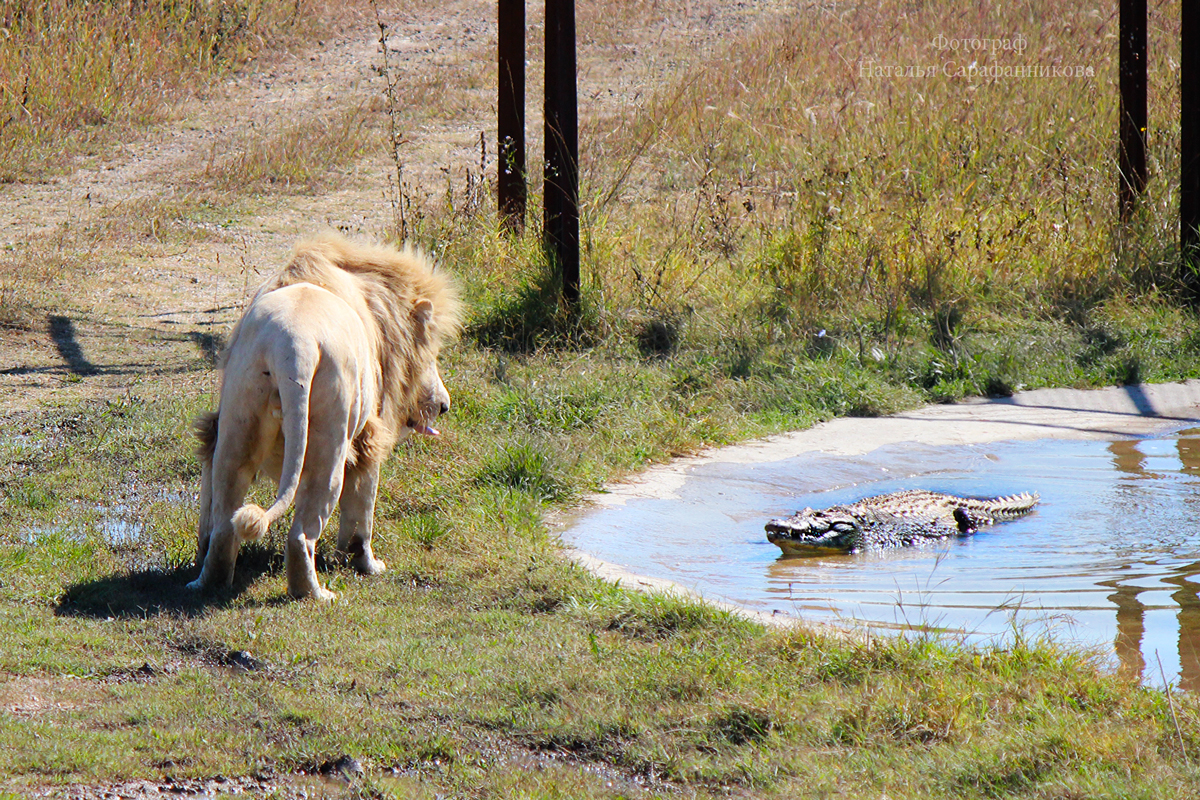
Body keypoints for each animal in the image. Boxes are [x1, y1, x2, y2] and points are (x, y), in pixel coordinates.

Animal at [187, 235, 458, 597]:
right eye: (431, 355)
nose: (444, 405)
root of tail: (294, 346)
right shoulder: (369, 437)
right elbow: (362, 510)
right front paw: (367, 565)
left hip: (239, 418)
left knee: (223, 520)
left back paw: (208, 582)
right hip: (332, 437)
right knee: (302, 532)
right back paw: (316, 594)